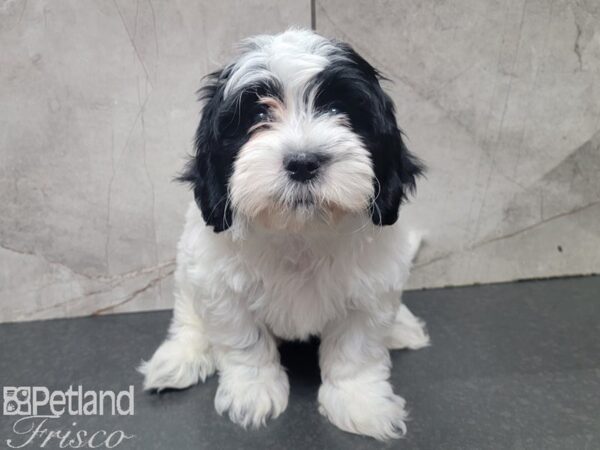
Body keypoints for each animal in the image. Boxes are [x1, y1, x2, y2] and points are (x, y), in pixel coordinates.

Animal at [139, 27, 432, 440]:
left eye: (339, 111)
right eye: (259, 114)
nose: (303, 162)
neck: (300, 231)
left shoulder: (370, 289)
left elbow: (357, 349)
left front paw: (360, 403)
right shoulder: (220, 285)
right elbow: (244, 341)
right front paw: (252, 394)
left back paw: (403, 328)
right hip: (188, 269)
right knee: (188, 315)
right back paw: (180, 358)